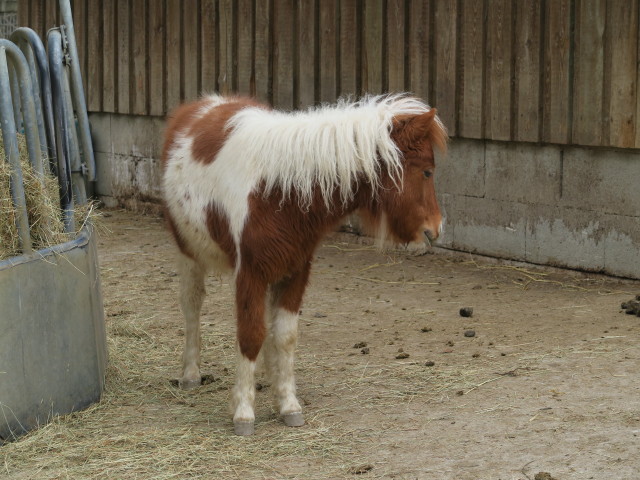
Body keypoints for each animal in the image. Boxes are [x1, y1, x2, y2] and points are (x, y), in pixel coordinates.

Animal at [162, 94, 448, 436]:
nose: (435, 230)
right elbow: (250, 334)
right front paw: (244, 413)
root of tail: (200, 106)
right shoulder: (250, 274)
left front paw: (287, 404)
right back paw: (190, 374)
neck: (278, 193)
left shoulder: (295, 271)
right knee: (192, 306)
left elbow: (284, 336)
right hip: (188, 253)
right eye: (427, 172)